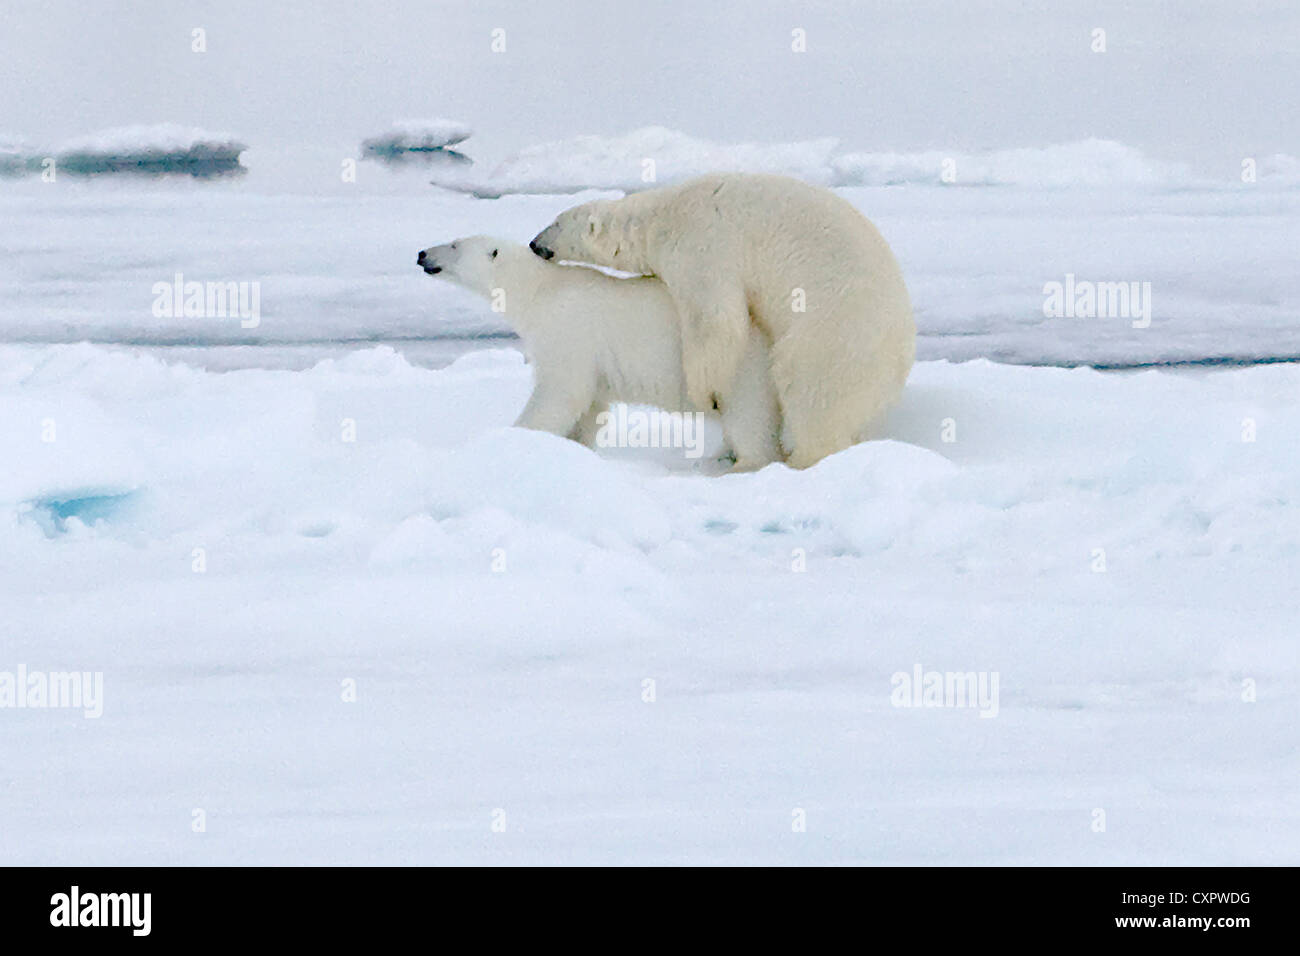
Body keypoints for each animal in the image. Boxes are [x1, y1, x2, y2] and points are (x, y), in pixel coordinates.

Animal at [421, 235, 774, 468]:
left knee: (748, 418)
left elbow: (560, 392)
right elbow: (592, 403)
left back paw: (740, 463)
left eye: (454, 245)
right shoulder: (593, 360)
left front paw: (516, 437)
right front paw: (575, 448)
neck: (539, 289)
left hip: (741, 368)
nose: (422, 253)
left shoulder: (567, 330)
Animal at [527, 174, 915, 470]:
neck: (662, 215)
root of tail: (900, 360)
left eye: (556, 222)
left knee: (811, 390)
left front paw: (706, 391)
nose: (533, 243)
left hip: (836, 336)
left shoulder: (702, 243)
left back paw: (799, 458)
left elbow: (715, 318)